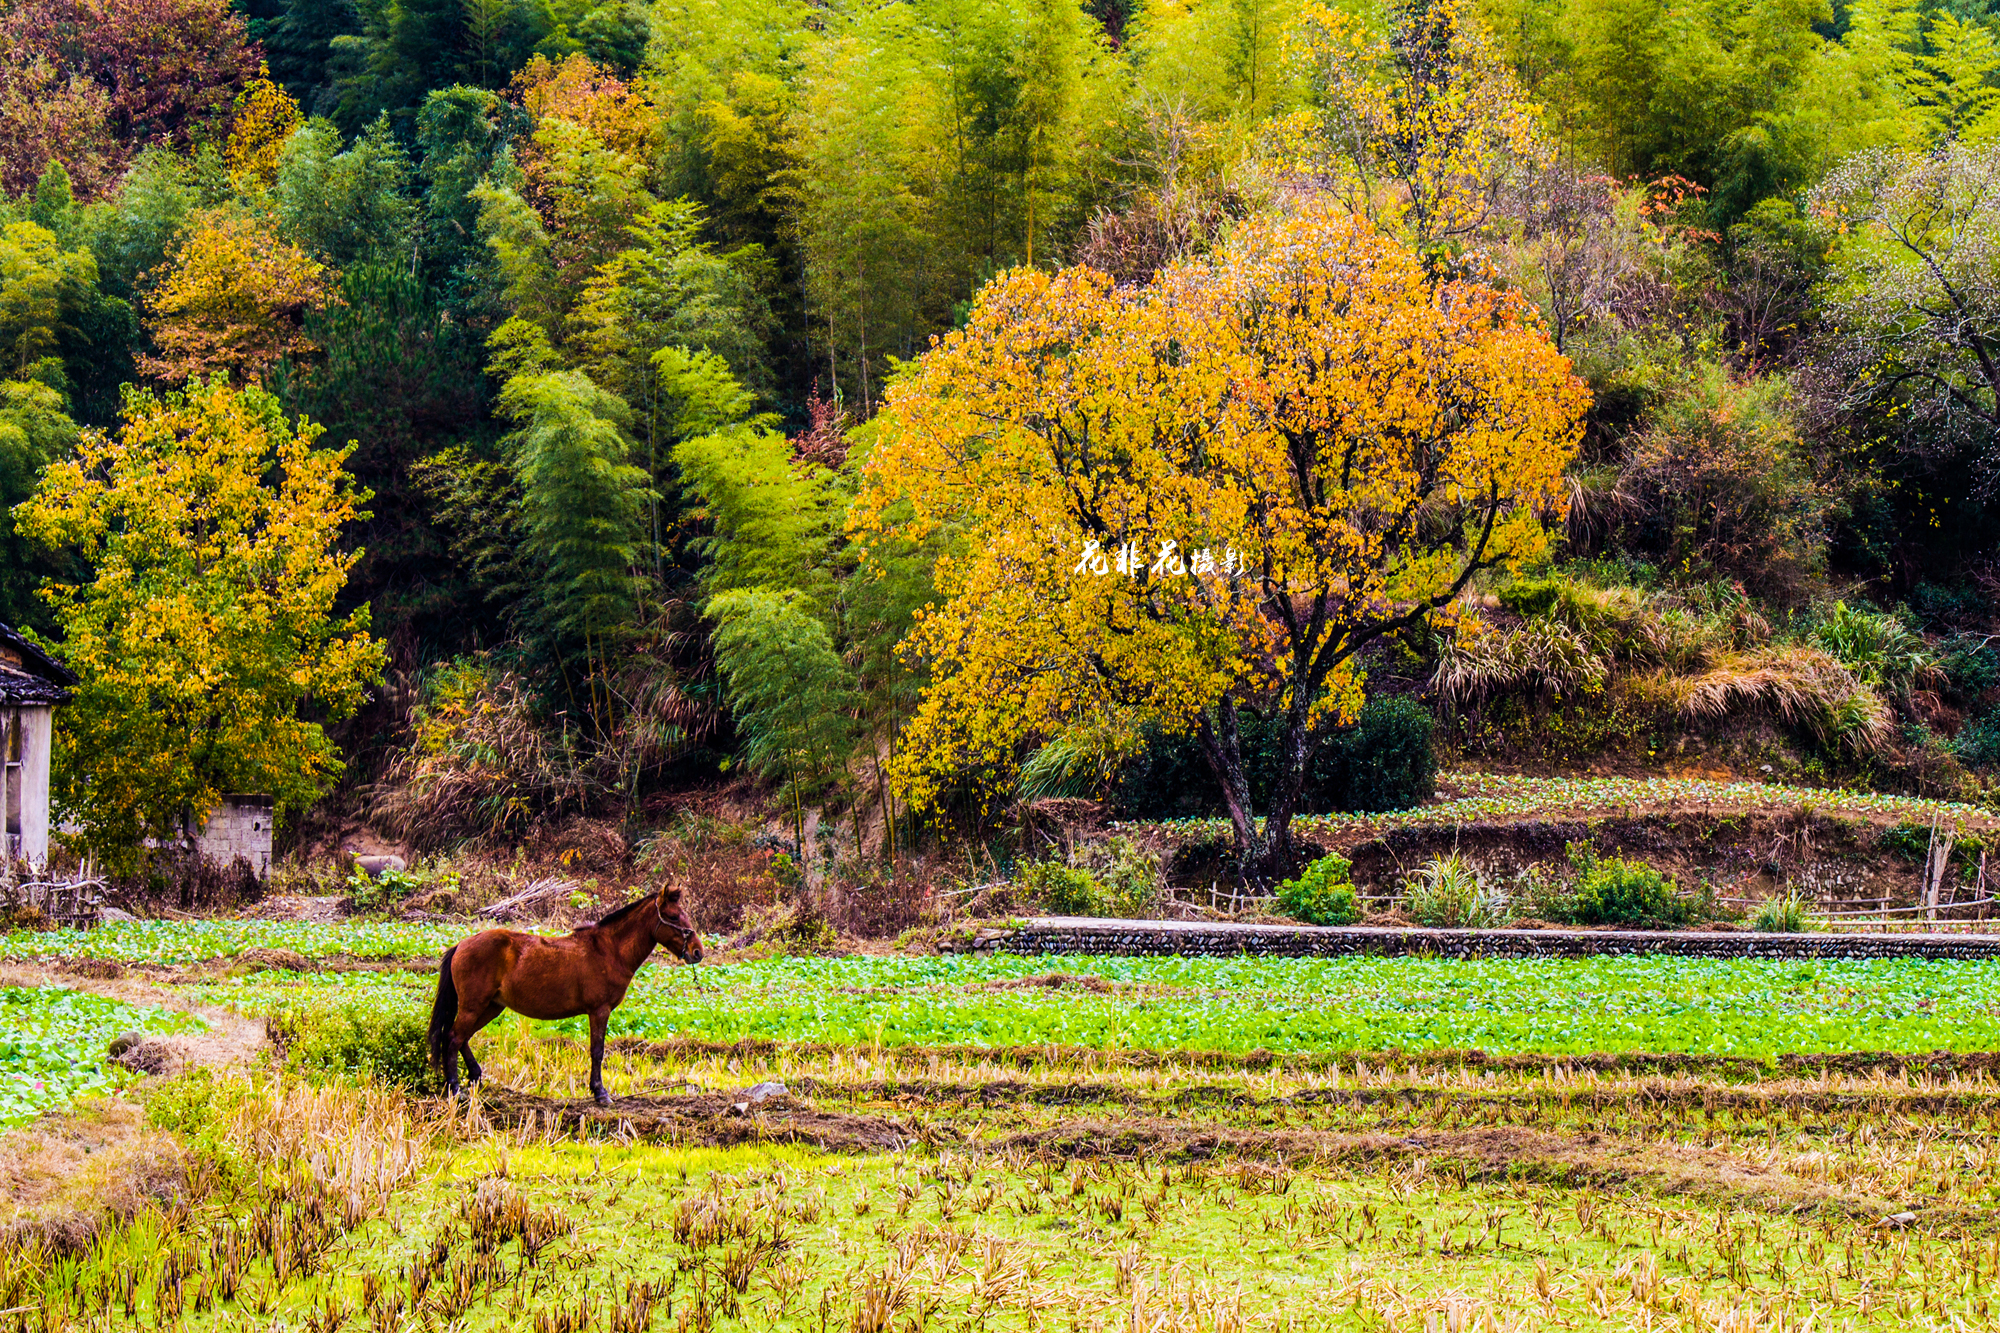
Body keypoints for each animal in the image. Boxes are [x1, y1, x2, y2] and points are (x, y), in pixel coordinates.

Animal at [424, 880, 704, 1096]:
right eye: (673, 917)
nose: (697, 952)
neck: (609, 950)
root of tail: (461, 945)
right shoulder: (599, 1011)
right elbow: (597, 1051)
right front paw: (599, 1092)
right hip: (474, 1006)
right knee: (453, 1038)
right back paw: (454, 1088)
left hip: (491, 1007)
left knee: (462, 1038)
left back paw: (475, 1076)